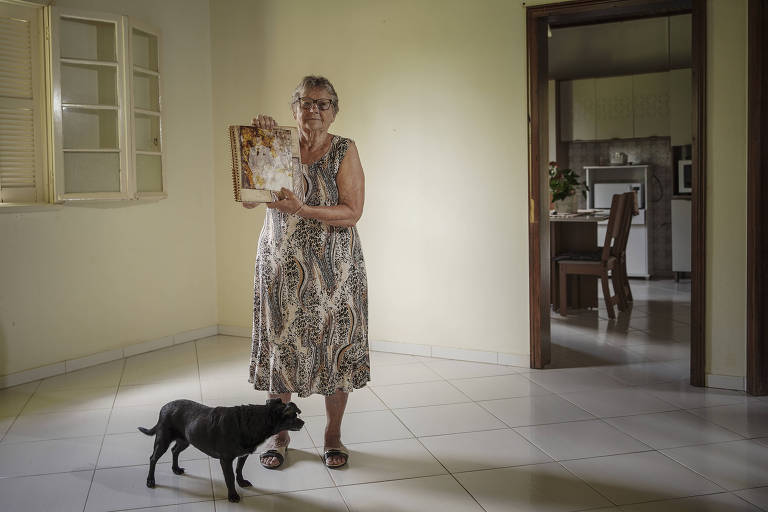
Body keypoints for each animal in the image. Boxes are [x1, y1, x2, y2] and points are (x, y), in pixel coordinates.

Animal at [138, 398, 304, 502]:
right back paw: (150, 480)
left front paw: (241, 482)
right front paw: (233, 496)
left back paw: (176, 469)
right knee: (153, 458)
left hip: (185, 439)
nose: (303, 422)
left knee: (175, 451)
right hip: (163, 440)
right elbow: (229, 478)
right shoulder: (226, 460)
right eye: (293, 416)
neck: (252, 422)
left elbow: (239, 470)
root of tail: (163, 408)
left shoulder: (243, 455)